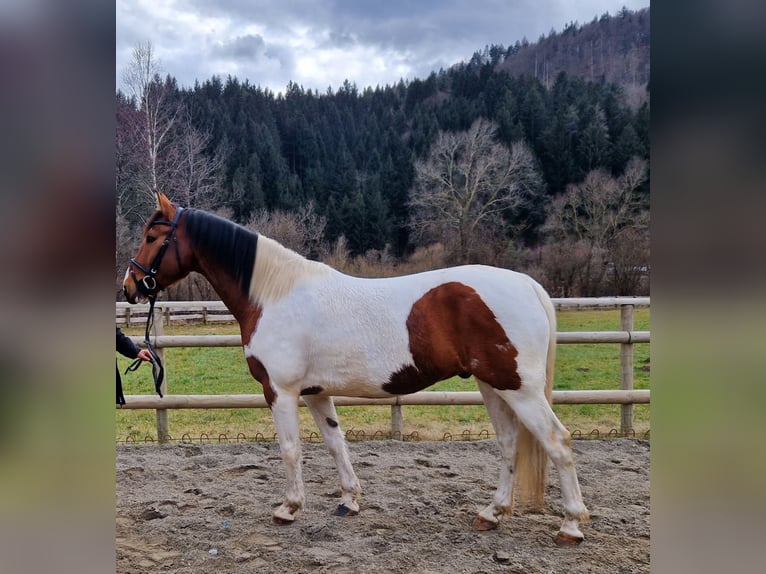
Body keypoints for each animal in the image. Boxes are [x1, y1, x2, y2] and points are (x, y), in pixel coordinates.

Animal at [126, 195, 592, 548]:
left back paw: (570, 525)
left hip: (519, 389)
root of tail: (527, 284)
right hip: (493, 386)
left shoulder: (280, 391)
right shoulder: (315, 392)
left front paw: (288, 508)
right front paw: (349, 501)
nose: (130, 287)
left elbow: (291, 450)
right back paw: (492, 513)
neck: (274, 295)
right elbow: (336, 444)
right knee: (510, 443)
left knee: (558, 441)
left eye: (152, 236)